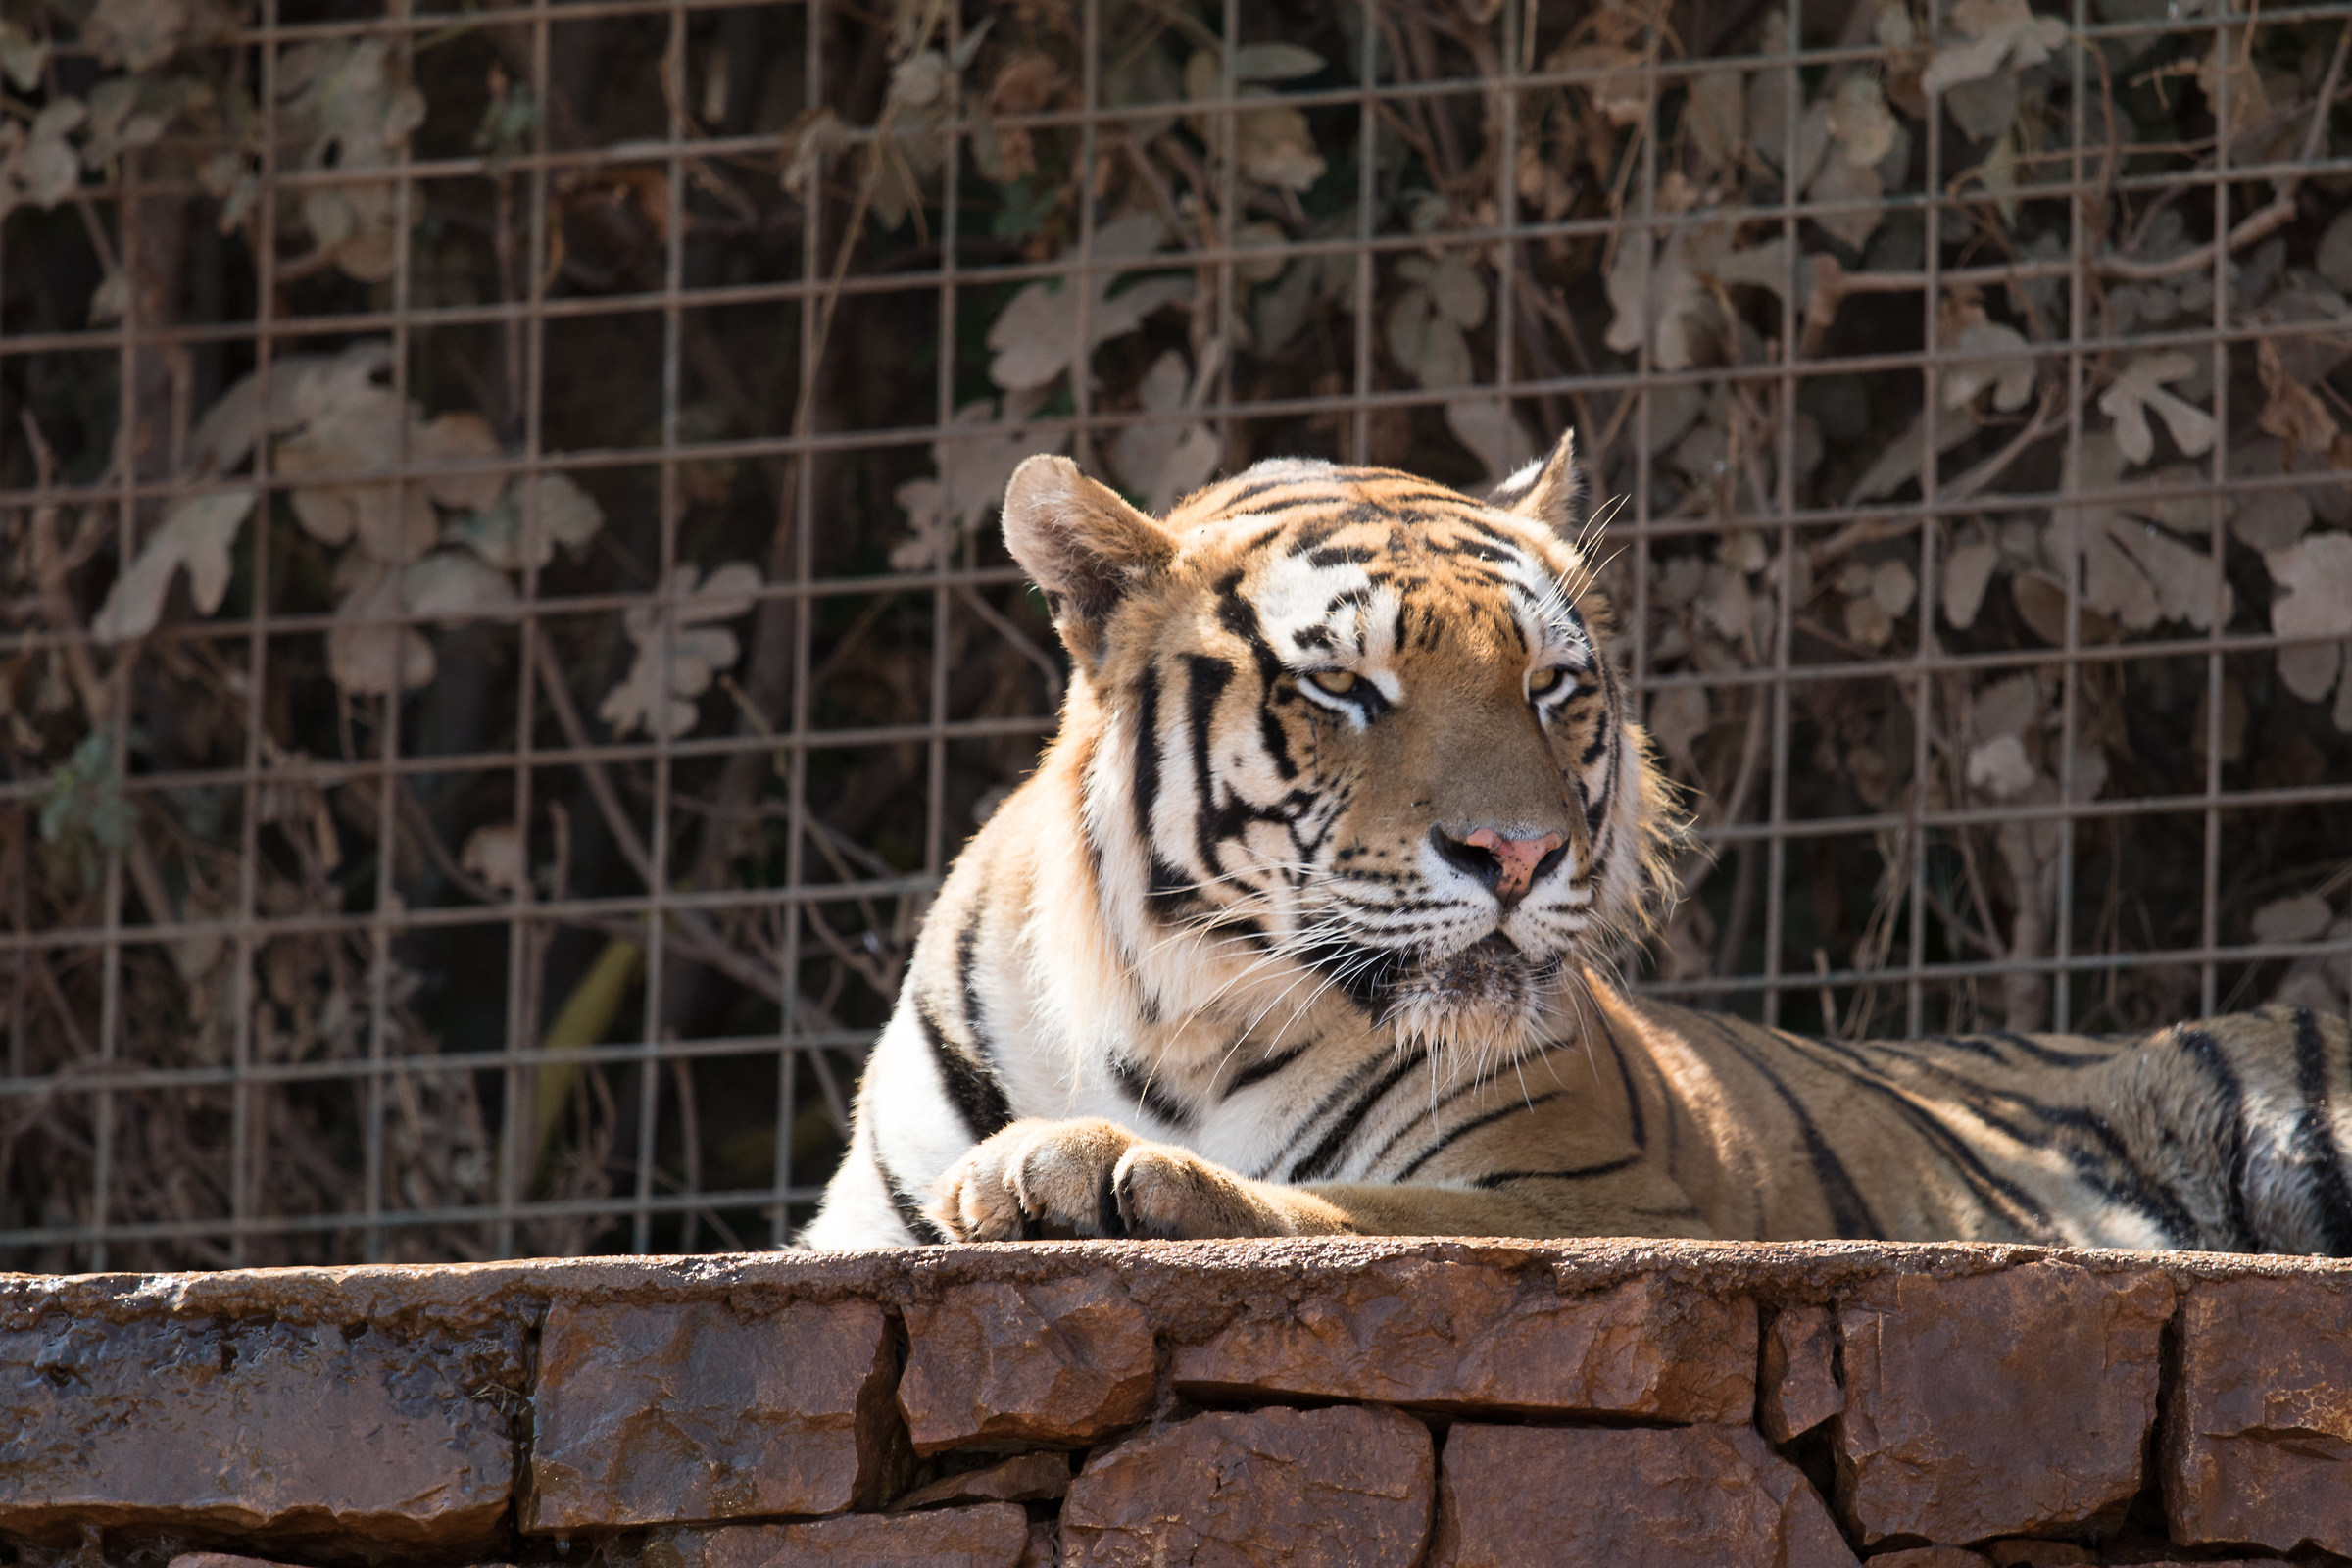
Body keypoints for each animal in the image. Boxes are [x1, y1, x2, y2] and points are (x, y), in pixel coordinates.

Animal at [799, 428, 2352, 1255]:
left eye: (1552, 685)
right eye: (1343, 686)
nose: (1518, 855)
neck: (1168, 1017)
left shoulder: (1603, 1196)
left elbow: (1357, 1207)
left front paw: (1101, 1174)